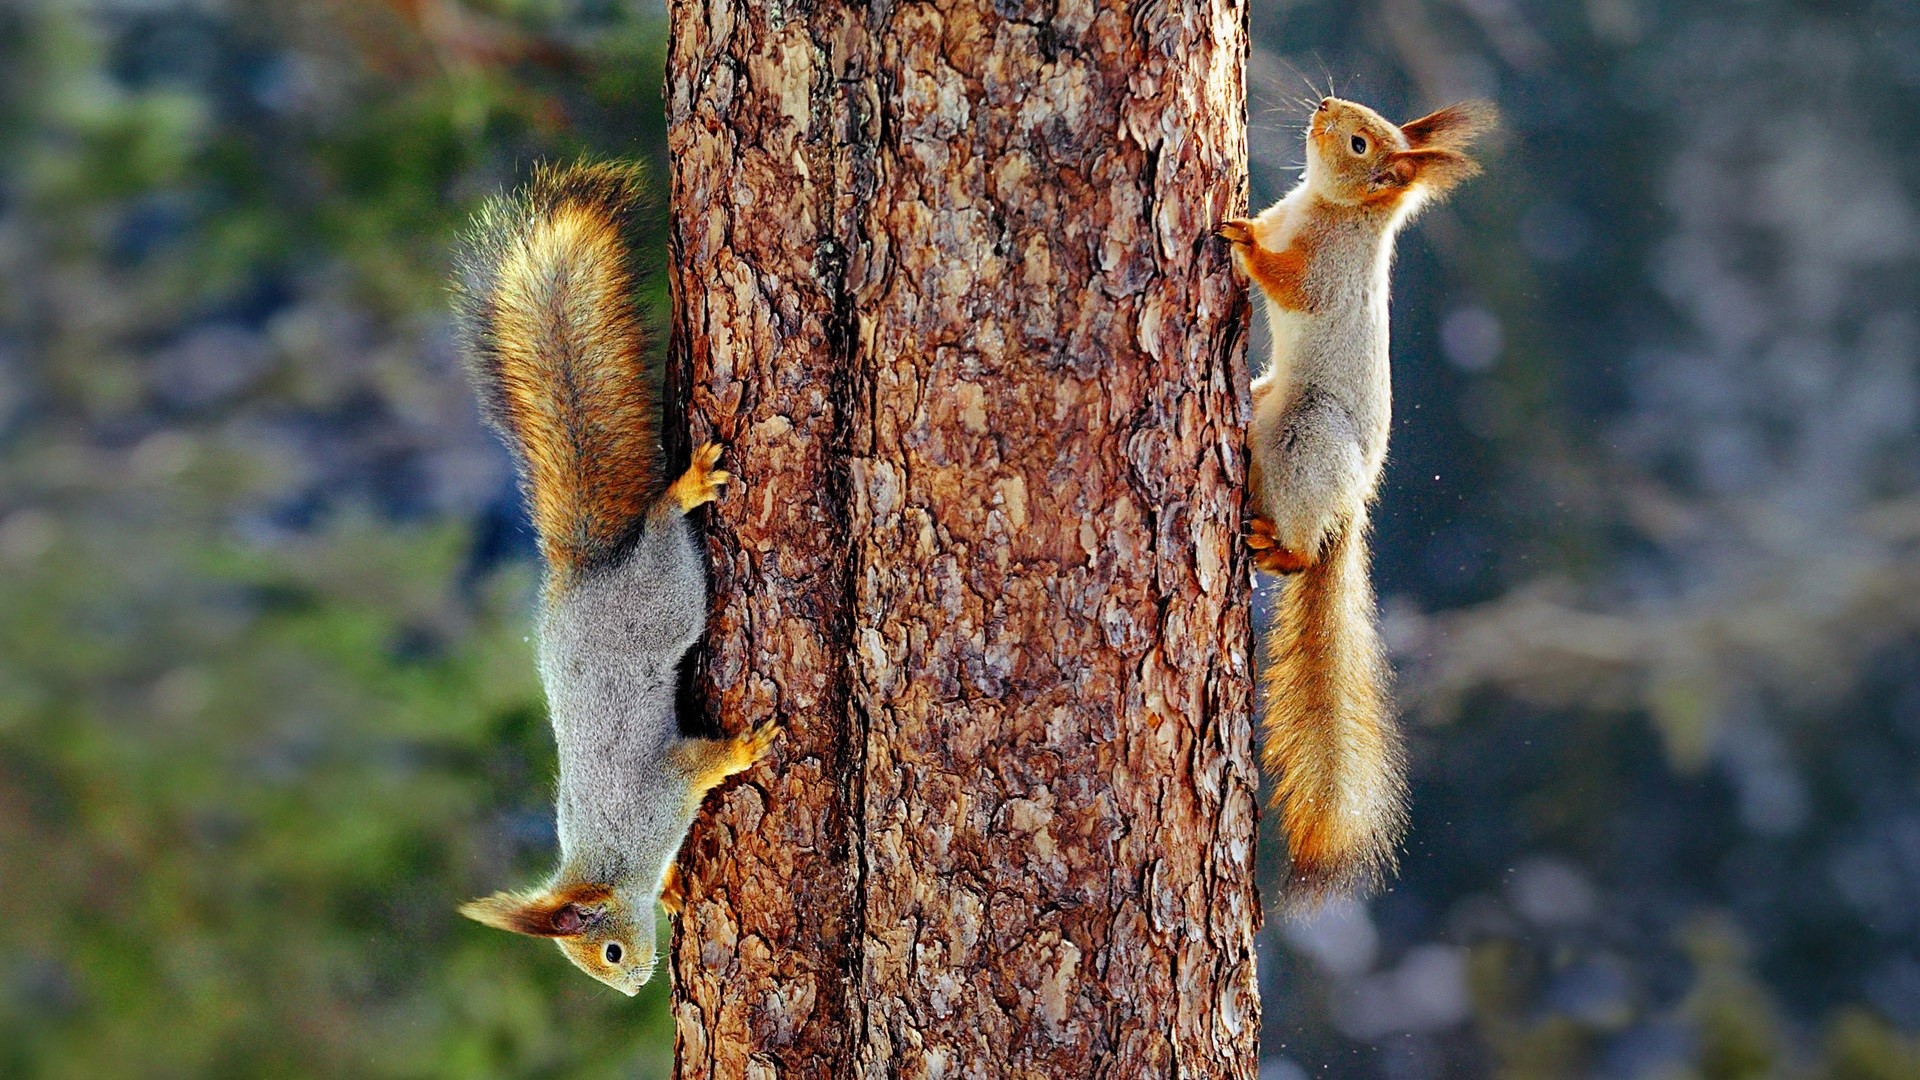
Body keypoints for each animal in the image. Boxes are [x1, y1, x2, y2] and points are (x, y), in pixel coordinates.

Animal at [450, 161, 773, 995]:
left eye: (610, 955)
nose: (632, 988)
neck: (612, 858)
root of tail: (587, 575)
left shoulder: (658, 793)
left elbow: (699, 764)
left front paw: (743, 749)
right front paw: (676, 887)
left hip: (664, 595)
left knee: (661, 528)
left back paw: (682, 491)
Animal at [1218, 96, 1495, 899]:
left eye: (1361, 143)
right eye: (1363, 122)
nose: (1322, 106)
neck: (1328, 208)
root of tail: (1350, 507)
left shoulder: (1326, 278)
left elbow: (1287, 284)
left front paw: (1242, 238)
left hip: (1310, 438)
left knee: (1301, 552)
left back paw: (1279, 546)